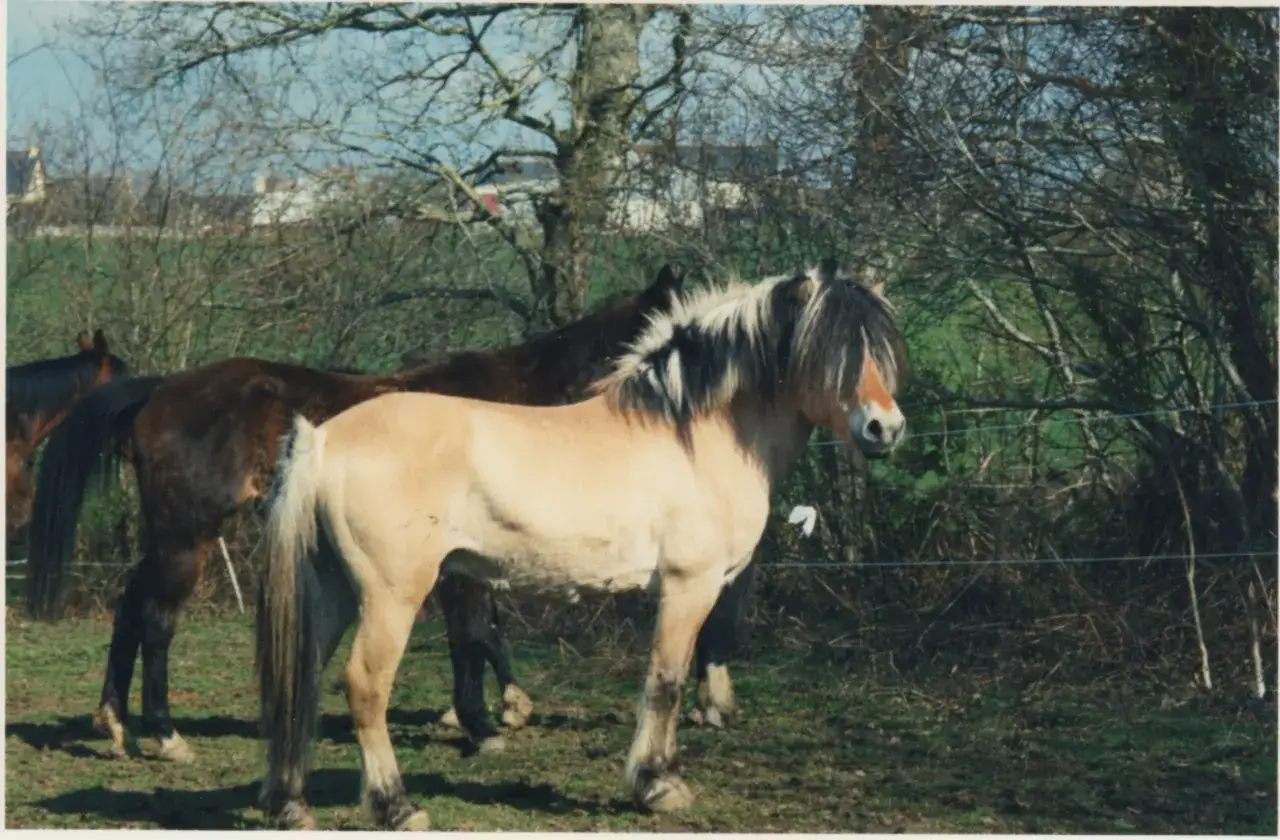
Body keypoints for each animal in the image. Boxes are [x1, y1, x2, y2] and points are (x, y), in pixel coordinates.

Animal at [25, 266, 694, 764]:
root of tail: (161, 391)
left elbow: (478, 634)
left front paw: (489, 712)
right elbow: (474, 630)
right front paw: (484, 722)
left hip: (168, 536)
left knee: (129, 609)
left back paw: (116, 725)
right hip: (187, 537)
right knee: (157, 620)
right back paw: (165, 735)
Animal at [256, 260, 909, 829]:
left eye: (879, 351)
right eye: (829, 353)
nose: (886, 428)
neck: (694, 433)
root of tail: (322, 439)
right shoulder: (688, 586)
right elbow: (666, 681)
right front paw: (657, 786)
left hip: (335, 589)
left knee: (303, 678)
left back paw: (292, 805)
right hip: (392, 595)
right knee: (365, 685)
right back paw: (397, 806)